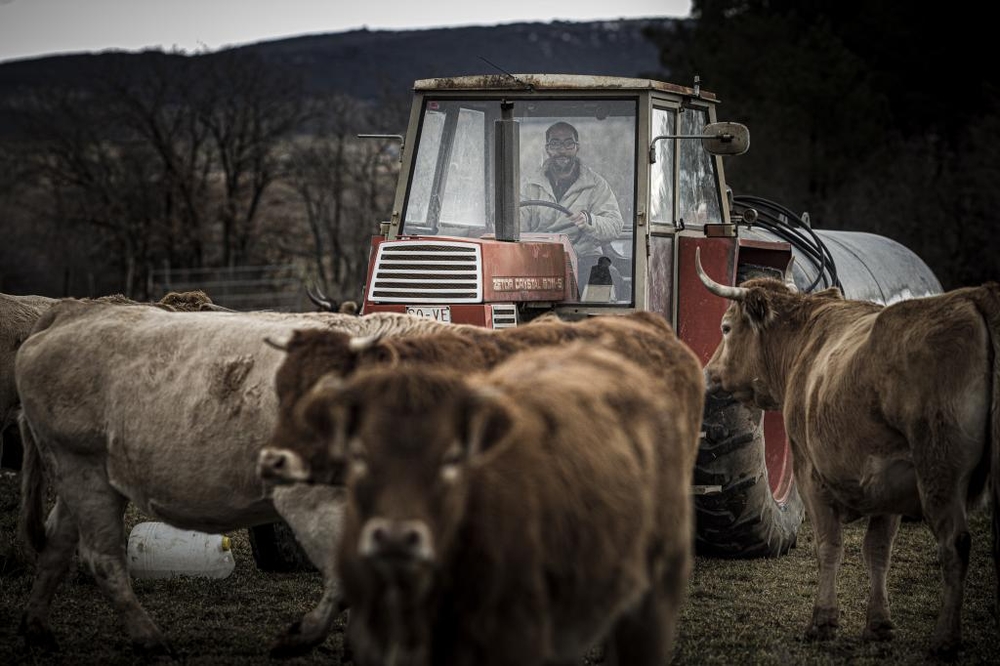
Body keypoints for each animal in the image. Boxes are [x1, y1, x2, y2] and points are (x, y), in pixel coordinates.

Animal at [696, 246, 1000, 656]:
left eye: (726, 328)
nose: (708, 374)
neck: (806, 345)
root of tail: (972, 298)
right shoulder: (891, 483)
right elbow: (878, 551)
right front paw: (879, 624)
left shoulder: (811, 475)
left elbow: (830, 545)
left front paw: (823, 621)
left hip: (939, 474)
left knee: (955, 544)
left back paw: (944, 639)